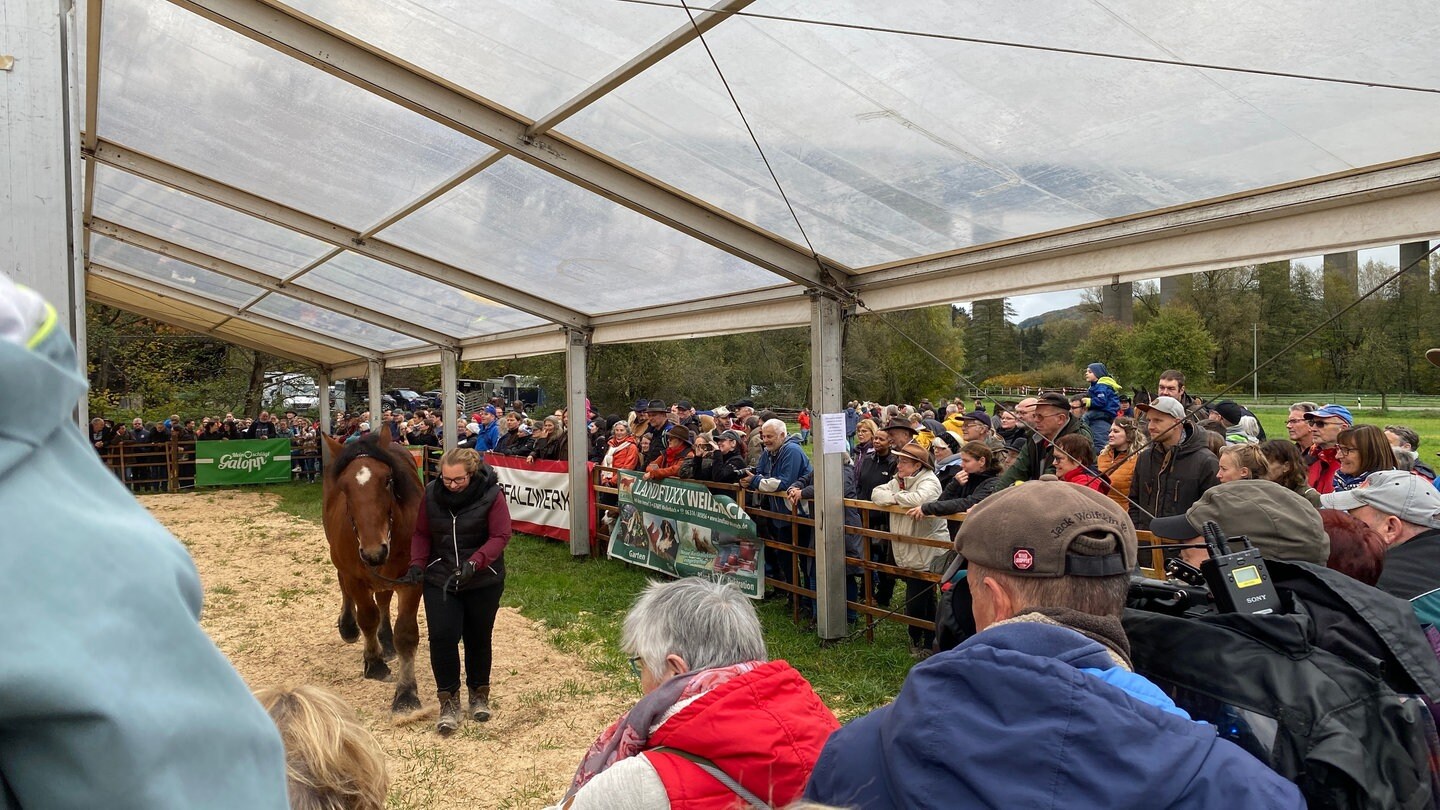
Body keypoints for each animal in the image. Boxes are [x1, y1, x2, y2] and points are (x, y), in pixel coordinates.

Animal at [321, 429, 420, 711]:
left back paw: (385, 638)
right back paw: (348, 625)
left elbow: (405, 634)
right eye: (344, 487)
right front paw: (374, 662)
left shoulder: (413, 579)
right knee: (344, 585)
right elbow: (367, 616)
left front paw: (406, 692)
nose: (374, 552)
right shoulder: (355, 575)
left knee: (384, 599)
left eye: (388, 480)